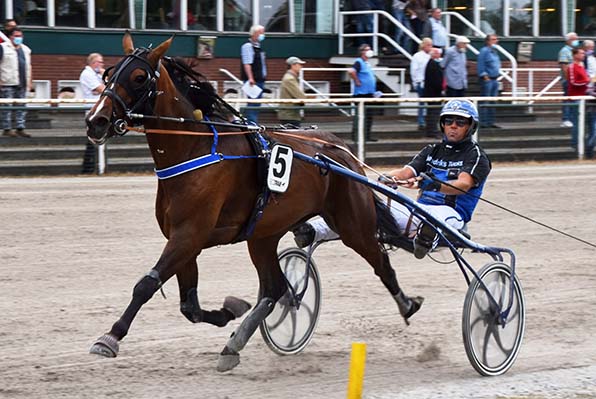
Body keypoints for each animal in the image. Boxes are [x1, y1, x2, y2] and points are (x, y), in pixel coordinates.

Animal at [86, 32, 424, 374]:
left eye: (139, 77)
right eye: (108, 75)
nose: (95, 121)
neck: (194, 149)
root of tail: (341, 150)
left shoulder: (189, 234)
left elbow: (146, 284)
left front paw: (110, 337)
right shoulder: (184, 239)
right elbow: (189, 306)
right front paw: (230, 310)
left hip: (352, 223)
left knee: (381, 262)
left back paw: (408, 304)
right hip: (264, 234)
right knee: (275, 289)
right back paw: (234, 345)